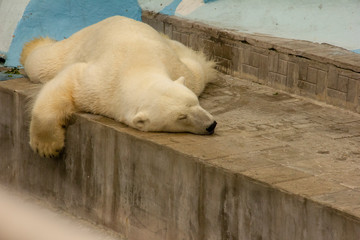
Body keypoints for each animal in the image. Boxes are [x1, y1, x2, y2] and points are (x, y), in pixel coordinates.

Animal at [21, 15, 217, 158]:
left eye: (195, 102)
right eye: (181, 117)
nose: (211, 125)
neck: (140, 67)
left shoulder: (177, 68)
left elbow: (196, 72)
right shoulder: (98, 85)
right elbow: (67, 82)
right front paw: (47, 147)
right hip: (79, 43)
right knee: (43, 63)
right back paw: (31, 47)